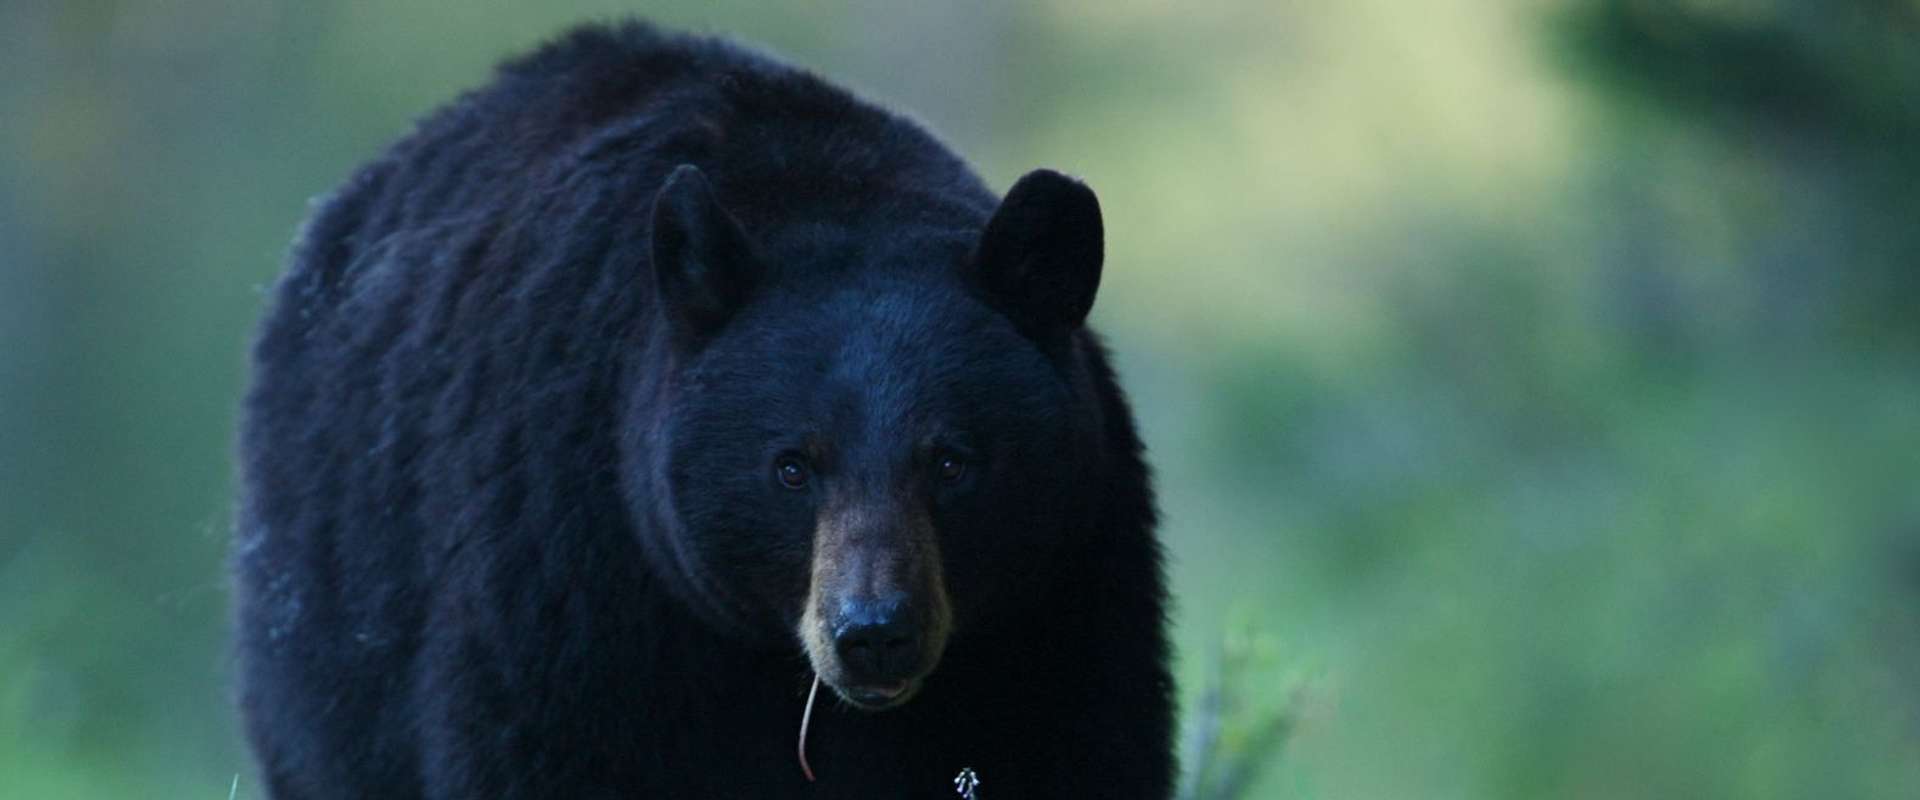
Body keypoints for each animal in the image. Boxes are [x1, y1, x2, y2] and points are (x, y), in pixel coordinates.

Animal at [234, 20, 1172, 798]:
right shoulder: (574, 571)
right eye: (791, 466)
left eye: (952, 461)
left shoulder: (1063, 590)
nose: (874, 631)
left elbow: (1076, 749)